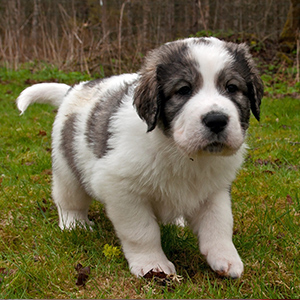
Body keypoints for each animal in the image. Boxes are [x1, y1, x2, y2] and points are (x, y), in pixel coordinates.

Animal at [17, 37, 264, 278]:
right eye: (184, 90)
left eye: (232, 87)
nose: (216, 120)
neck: (181, 153)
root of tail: (74, 89)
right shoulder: (122, 189)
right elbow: (142, 231)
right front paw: (153, 265)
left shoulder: (216, 189)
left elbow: (219, 223)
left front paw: (226, 258)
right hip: (66, 168)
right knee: (68, 199)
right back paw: (75, 224)